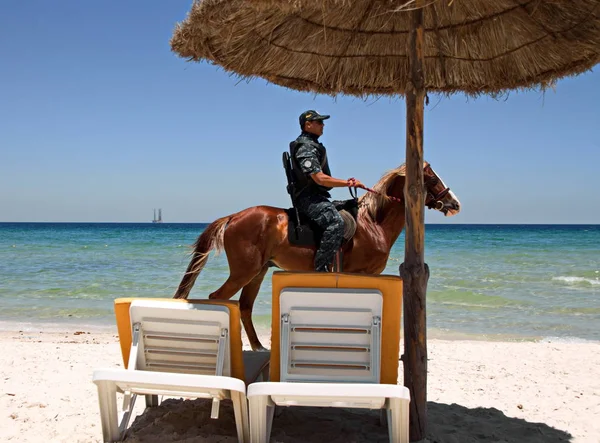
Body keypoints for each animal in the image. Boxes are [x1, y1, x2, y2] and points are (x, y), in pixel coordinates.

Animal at [172, 163, 460, 350]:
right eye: (431, 178)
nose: (454, 204)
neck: (373, 223)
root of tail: (233, 216)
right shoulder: (361, 275)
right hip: (244, 272)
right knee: (217, 299)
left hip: (258, 272)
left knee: (244, 306)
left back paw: (258, 347)